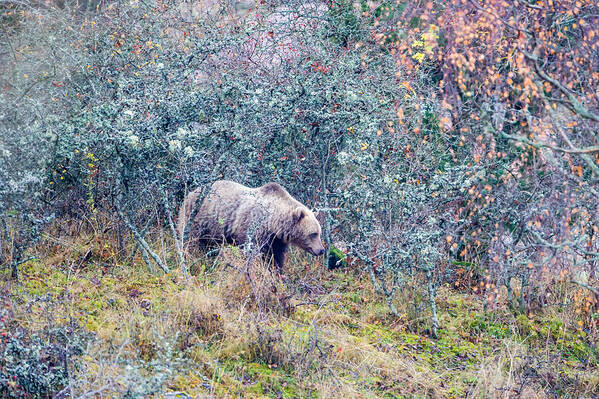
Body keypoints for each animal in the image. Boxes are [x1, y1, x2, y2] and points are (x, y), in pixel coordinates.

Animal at [178, 180, 326, 268]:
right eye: (313, 234)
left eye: (319, 233)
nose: (321, 250)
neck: (273, 223)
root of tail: (191, 192)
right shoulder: (252, 228)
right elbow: (251, 252)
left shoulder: (276, 240)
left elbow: (275, 257)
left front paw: (276, 272)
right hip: (198, 219)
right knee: (191, 241)